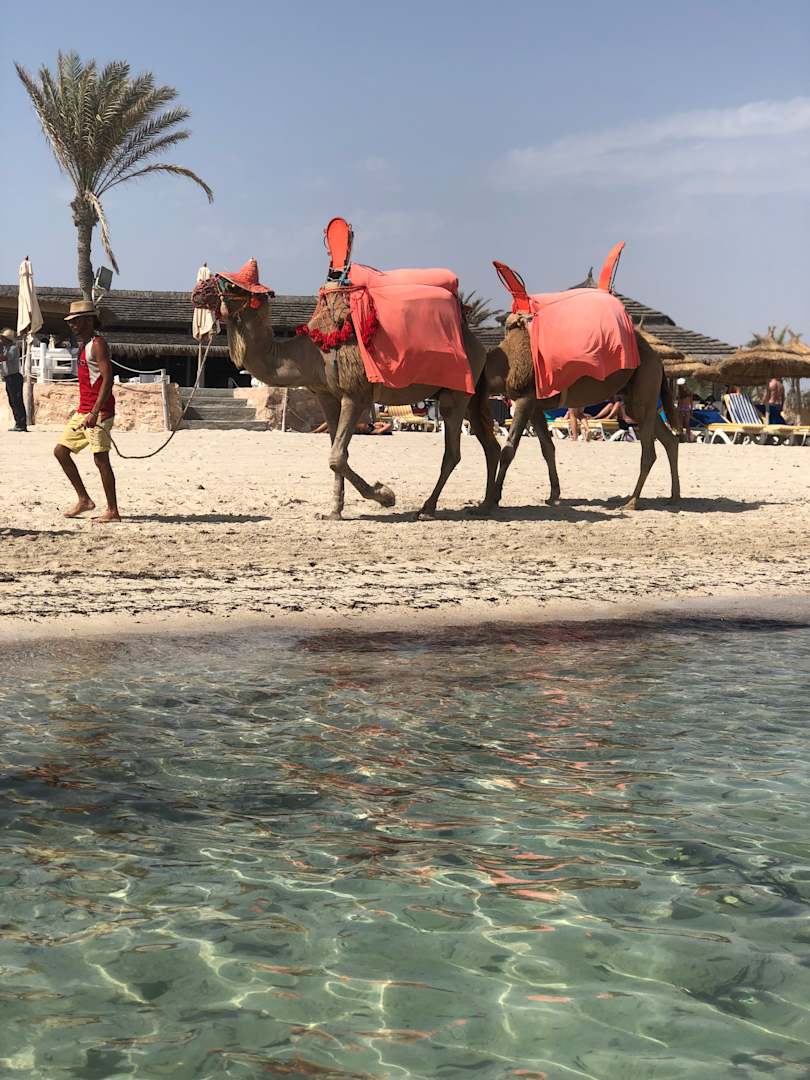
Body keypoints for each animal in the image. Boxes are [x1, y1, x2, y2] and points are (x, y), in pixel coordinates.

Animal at [198, 260, 499, 520]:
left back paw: (428, 508)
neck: (311, 352)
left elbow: (336, 456)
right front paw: (334, 512)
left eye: (231, 284)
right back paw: (486, 504)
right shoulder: (326, 396)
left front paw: (385, 495)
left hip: (455, 393)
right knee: (490, 444)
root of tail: (476, 343)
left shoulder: (356, 395)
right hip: (470, 395)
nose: (201, 289)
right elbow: (337, 452)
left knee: (453, 451)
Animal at [472, 315, 681, 513]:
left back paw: (632, 502)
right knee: (670, 440)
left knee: (649, 452)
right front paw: (554, 495)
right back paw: (674, 497)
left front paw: (491, 501)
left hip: (644, 387)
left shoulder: (525, 398)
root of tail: (657, 358)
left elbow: (508, 450)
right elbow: (548, 448)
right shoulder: (536, 406)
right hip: (636, 400)